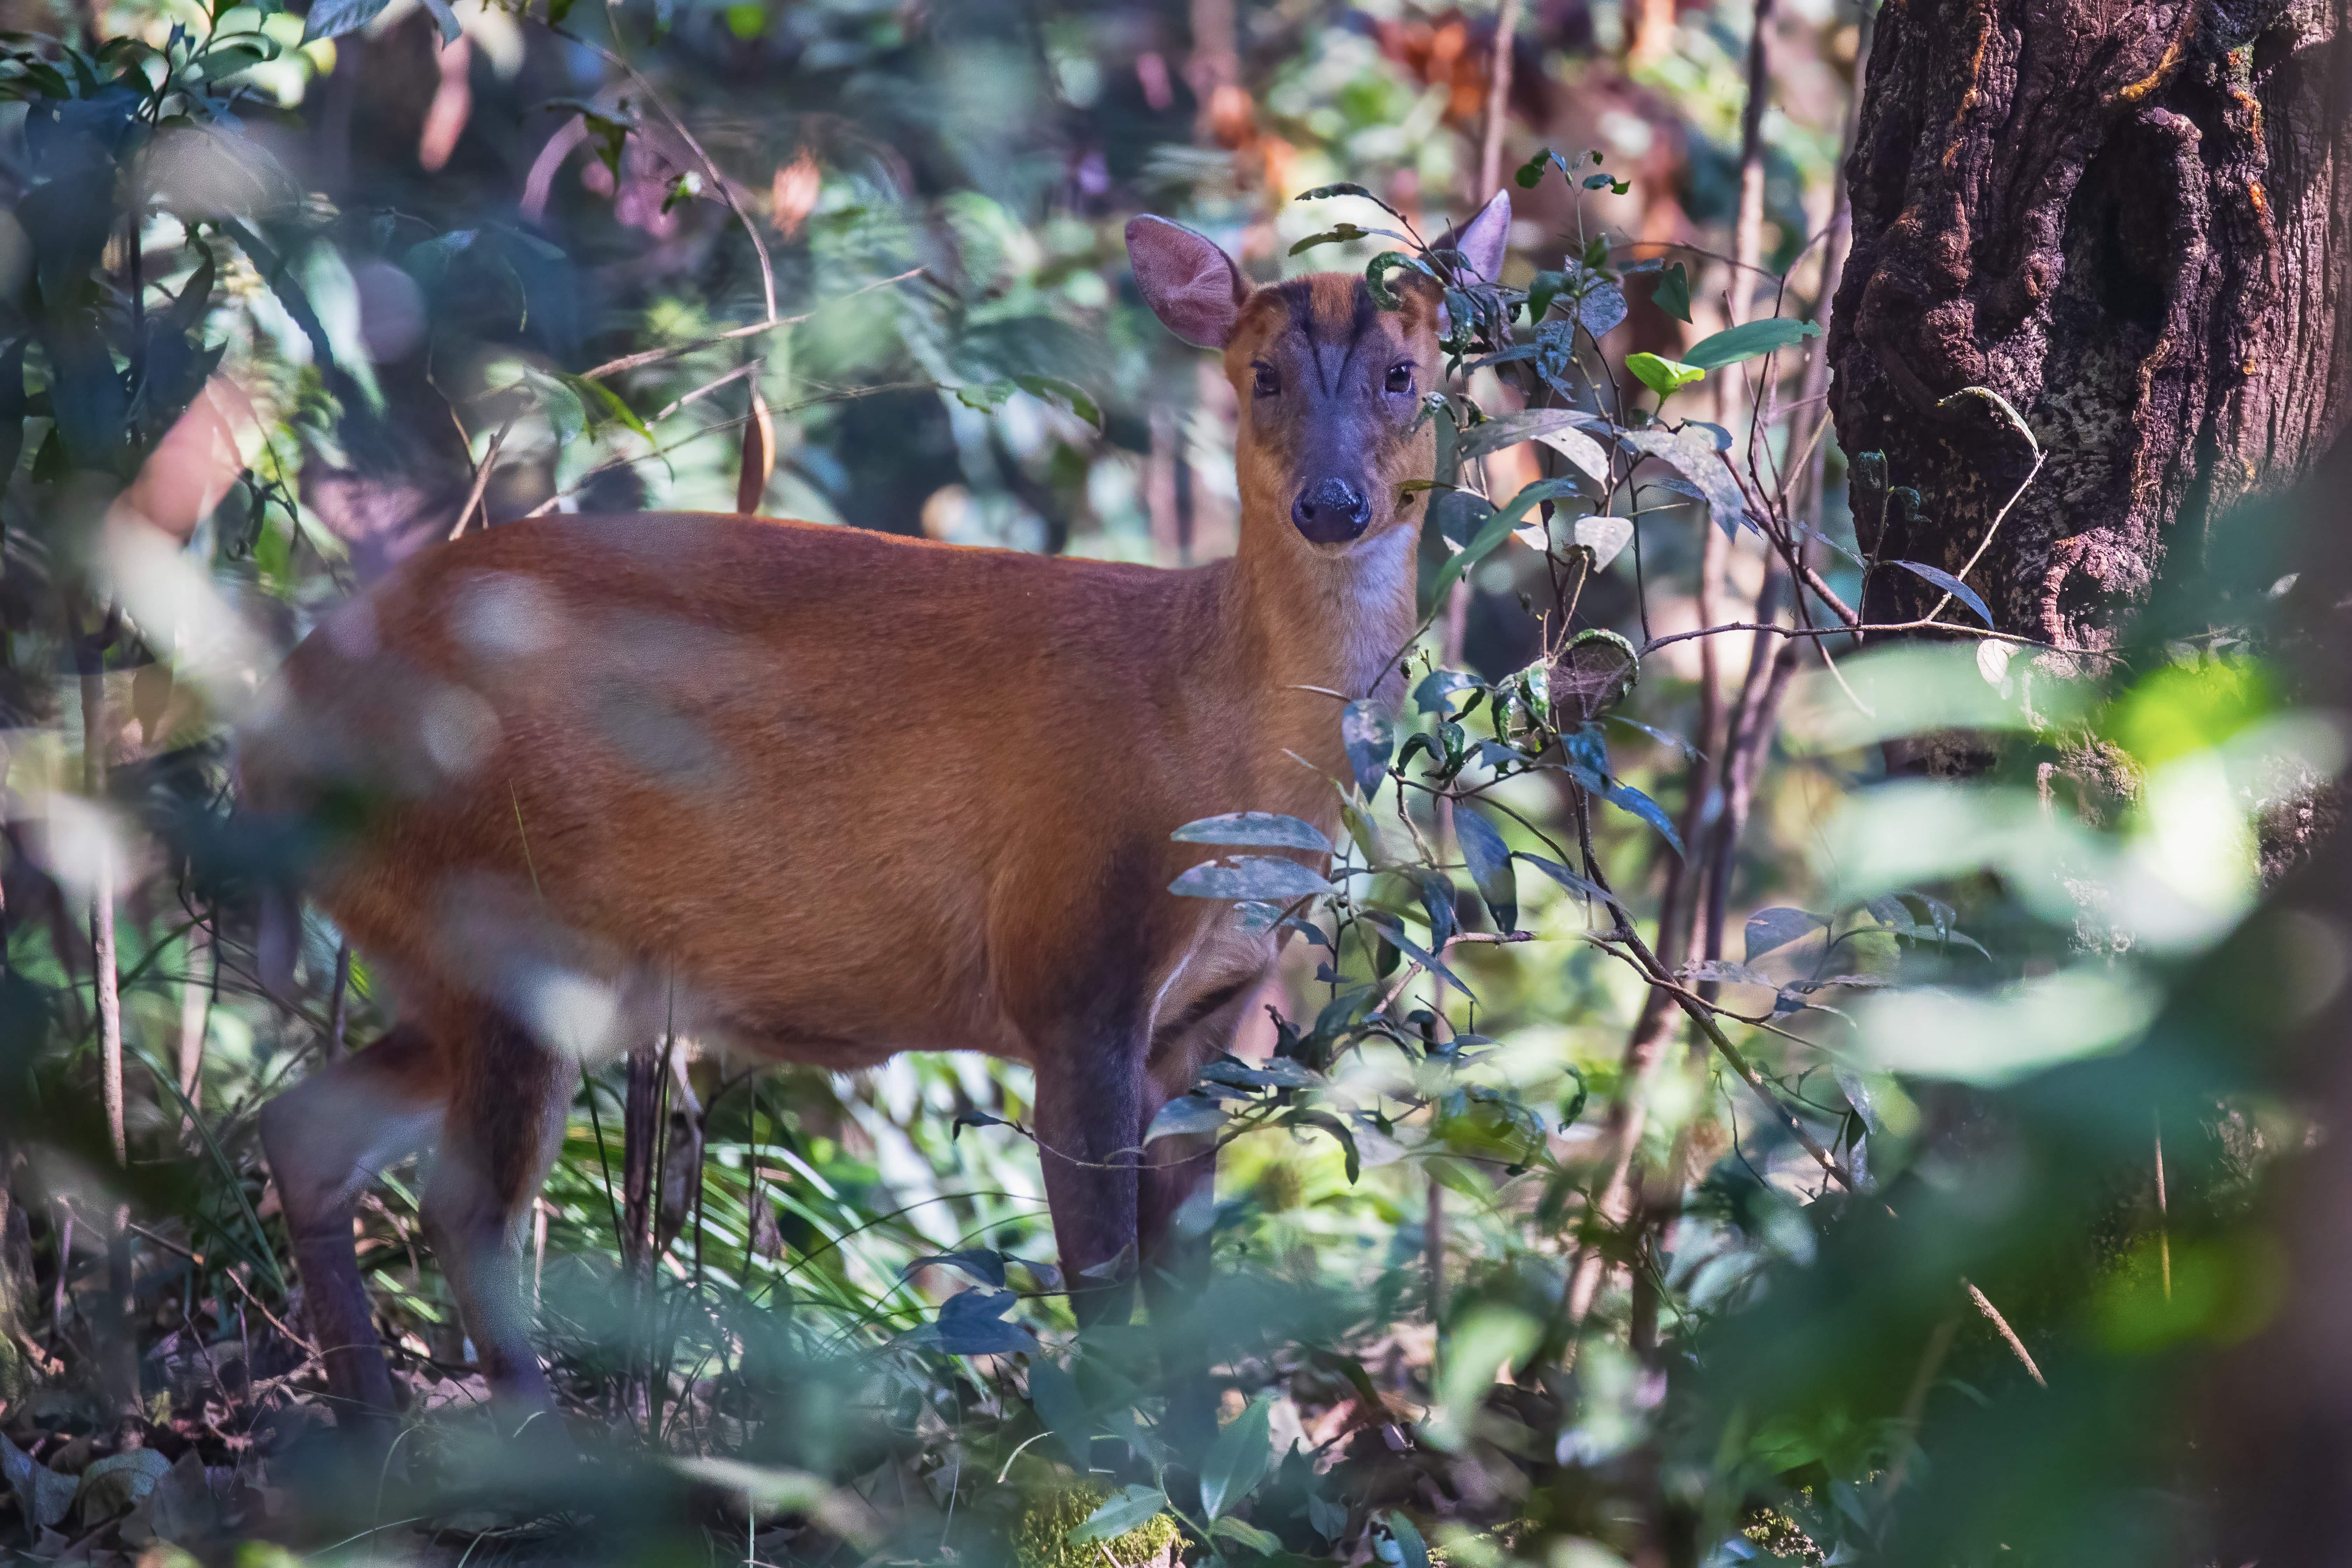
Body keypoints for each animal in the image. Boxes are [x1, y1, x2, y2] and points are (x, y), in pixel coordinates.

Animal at [241, 190, 1514, 1438]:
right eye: (1264, 376)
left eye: (1402, 373)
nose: (1332, 504)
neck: (1218, 744)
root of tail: (277, 718)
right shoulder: (1069, 966)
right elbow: (1105, 1289)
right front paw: (1117, 1469)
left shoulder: (1207, 1022)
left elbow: (1187, 1306)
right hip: (497, 912)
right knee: (467, 1210)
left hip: (470, 952)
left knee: (309, 1132)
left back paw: (365, 1421)